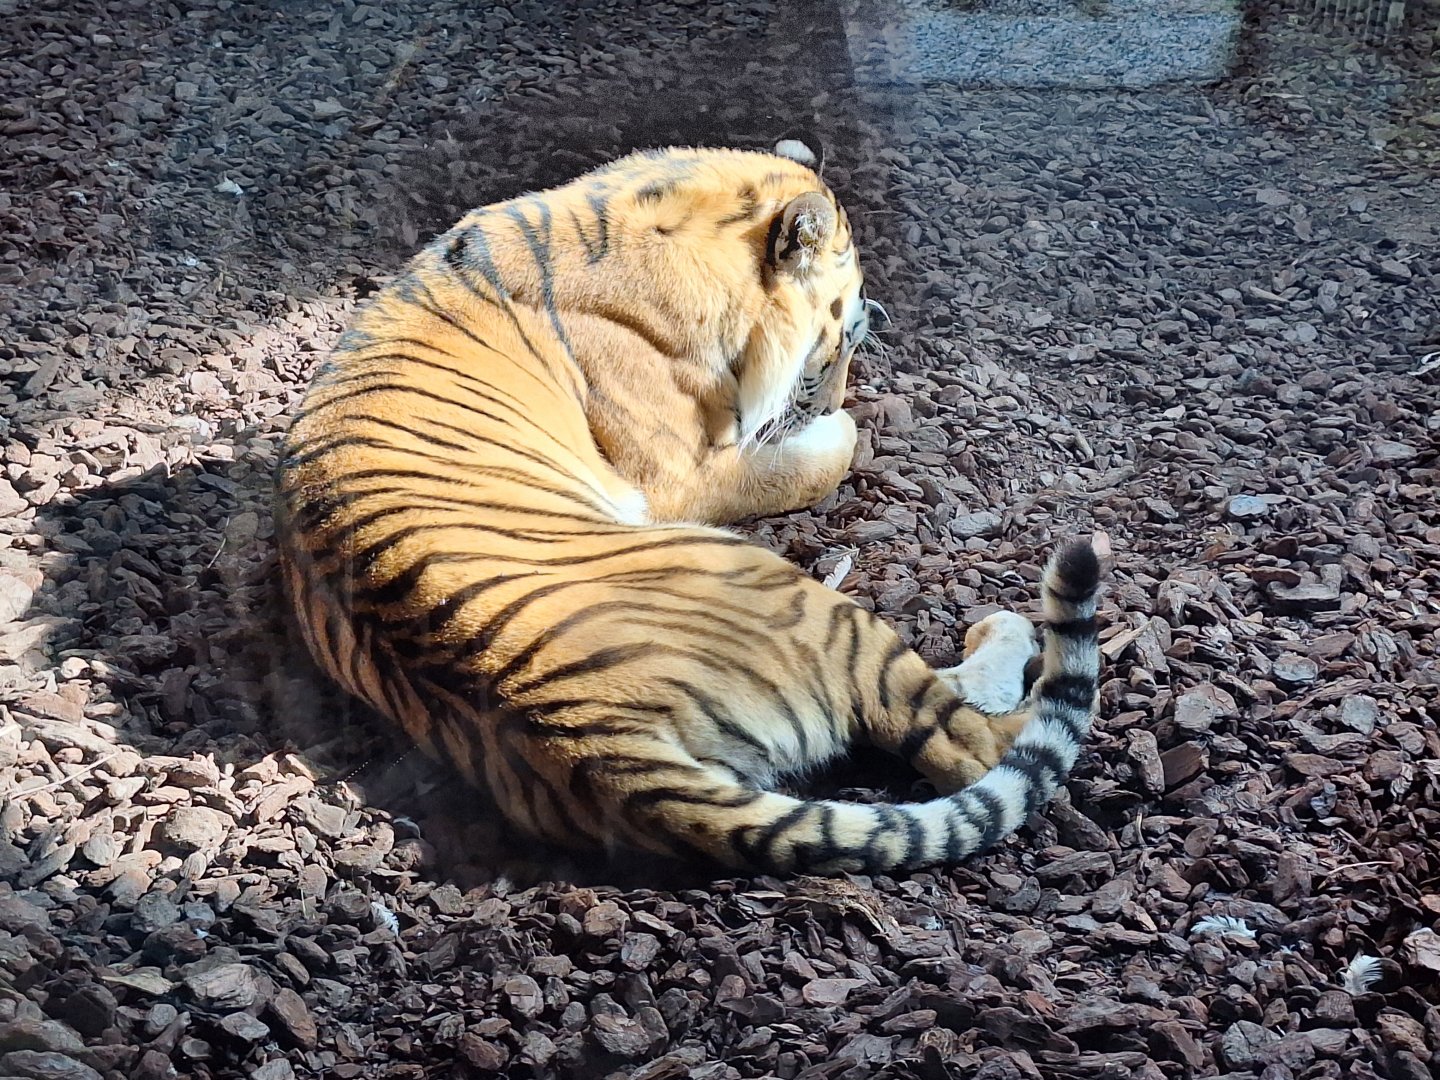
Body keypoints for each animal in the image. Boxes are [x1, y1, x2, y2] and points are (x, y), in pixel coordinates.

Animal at [273, 139, 1106, 876]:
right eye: (838, 342)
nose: (828, 396)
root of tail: (589, 738)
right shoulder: (685, 477)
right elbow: (822, 455)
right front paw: (839, 425)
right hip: (786, 592)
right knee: (978, 742)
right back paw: (1004, 632)